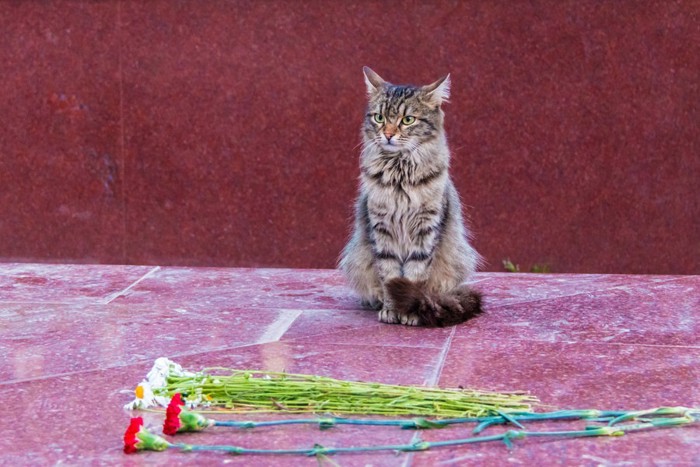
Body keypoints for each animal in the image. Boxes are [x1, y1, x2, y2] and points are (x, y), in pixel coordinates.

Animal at [338, 67, 482, 328]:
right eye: (379, 118)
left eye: (408, 120)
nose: (387, 135)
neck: (400, 174)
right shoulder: (381, 226)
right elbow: (389, 275)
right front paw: (391, 309)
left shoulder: (426, 226)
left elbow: (416, 275)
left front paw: (412, 311)